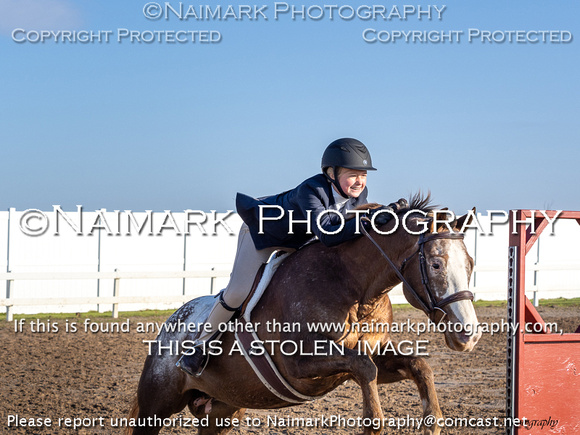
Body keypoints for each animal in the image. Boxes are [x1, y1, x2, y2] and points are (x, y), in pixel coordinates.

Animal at [127, 198, 480, 435]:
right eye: (436, 264)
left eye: (471, 264)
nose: (469, 335)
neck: (354, 289)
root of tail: (170, 325)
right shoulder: (299, 364)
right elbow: (365, 371)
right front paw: (373, 423)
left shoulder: (367, 355)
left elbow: (417, 365)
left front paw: (432, 421)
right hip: (156, 406)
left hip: (221, 410)